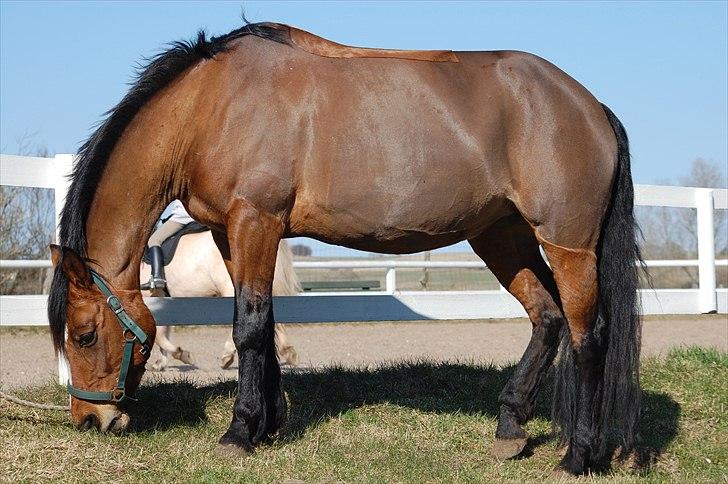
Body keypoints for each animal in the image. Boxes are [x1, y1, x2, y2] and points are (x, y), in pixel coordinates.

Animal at [138, 233, 300, 368]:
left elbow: (158, 334)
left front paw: (183, 355)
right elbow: (163, 331)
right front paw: (160, 363)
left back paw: (227, 355)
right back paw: (288, 352)